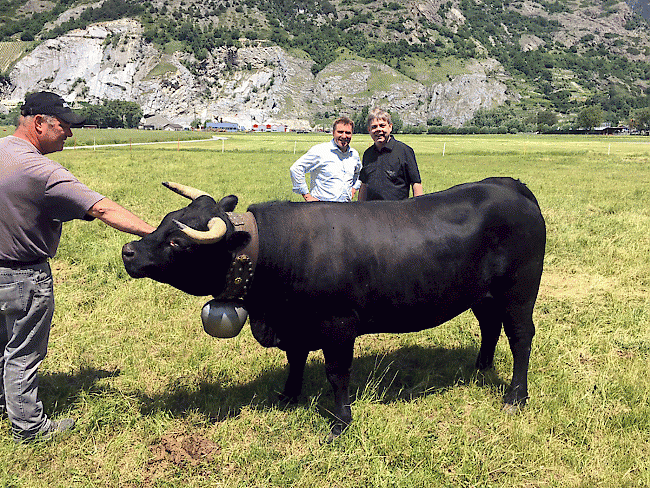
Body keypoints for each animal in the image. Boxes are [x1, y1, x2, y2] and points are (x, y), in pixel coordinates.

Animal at [120, 176, 540, 438]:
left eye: (177, 242)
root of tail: (508, 186)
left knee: (520, 336)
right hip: (484, 295)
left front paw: (340, 422)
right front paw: (288, 397)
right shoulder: (295, 324)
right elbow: (295, 359)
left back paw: (515, 397)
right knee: (489, 326)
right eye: (165, 221)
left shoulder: (338, 326)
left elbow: (337, 374)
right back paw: (480, 368)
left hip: (519, 292)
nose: (128, 251)